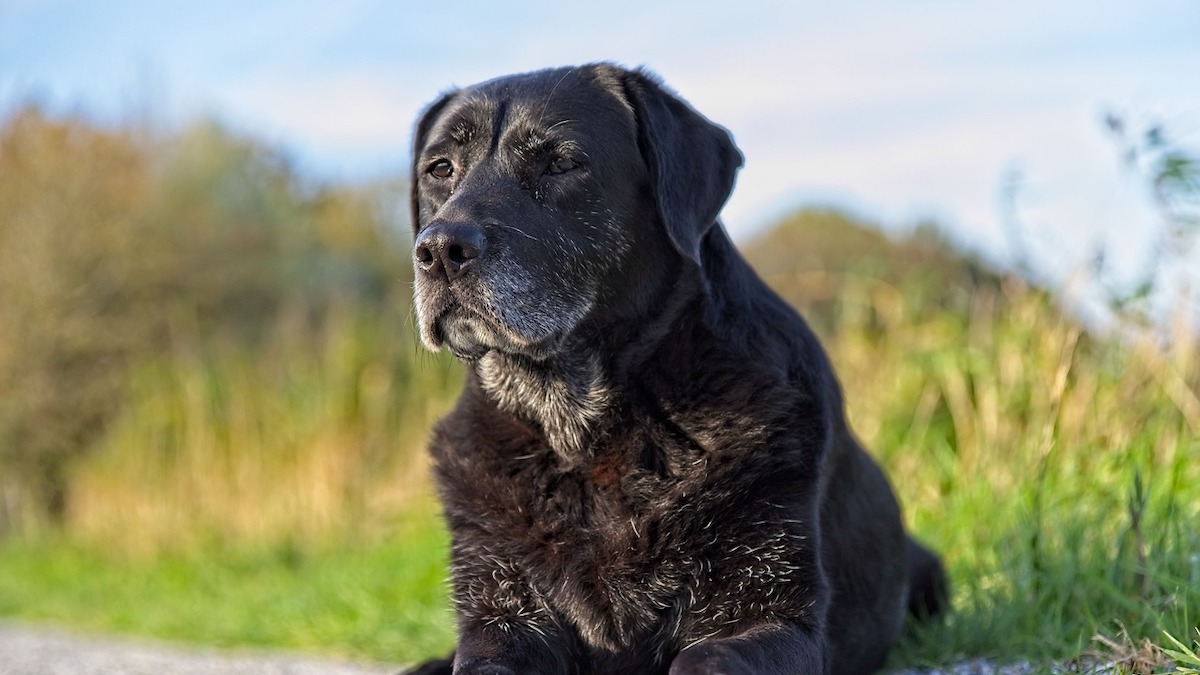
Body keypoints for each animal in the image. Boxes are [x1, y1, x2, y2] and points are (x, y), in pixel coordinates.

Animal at [408, 63, 940, 672]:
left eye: (561, 164)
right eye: (440, 170)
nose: (439, 249)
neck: (583, 433)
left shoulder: (775, 617)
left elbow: (703, 659)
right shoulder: (502, 613)